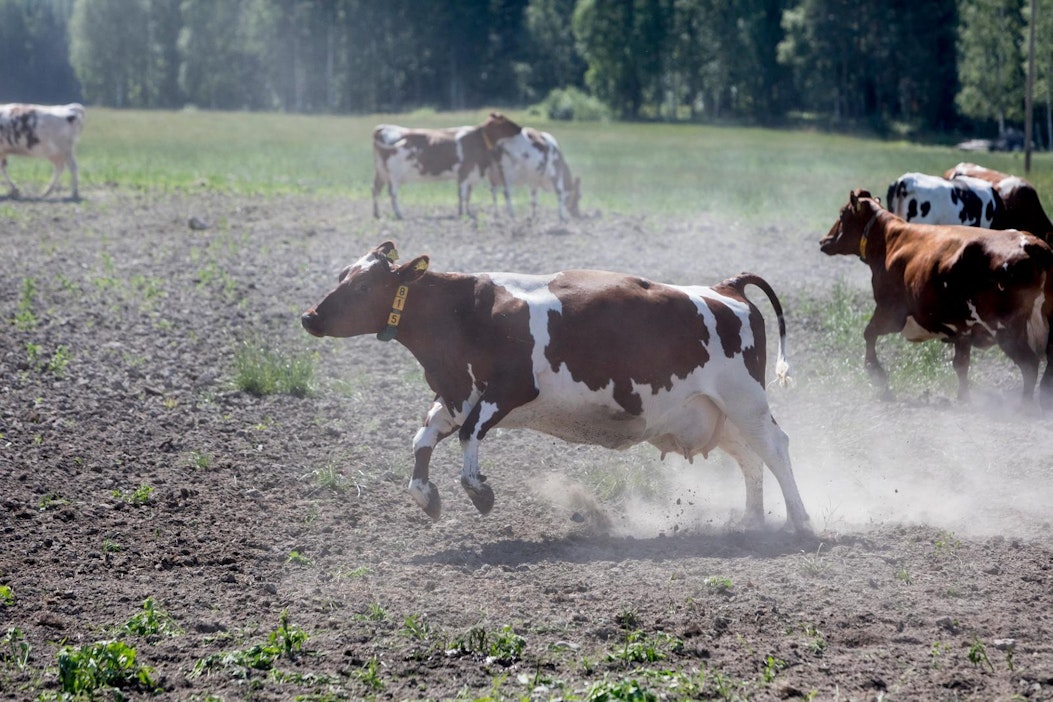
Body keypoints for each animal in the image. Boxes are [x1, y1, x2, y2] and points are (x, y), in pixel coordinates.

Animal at [301, 242, 808, 532]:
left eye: (363, 287)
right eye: (342, 276)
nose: (310, 316)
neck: (467, 310)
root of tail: (726, 289)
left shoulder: (509, 389)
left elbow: (469, 434)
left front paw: (478, 490)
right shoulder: (456, 394)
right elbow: (423, 437)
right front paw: (426, 495)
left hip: (746, 401)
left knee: (777, 446)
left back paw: (800, 521)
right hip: (714, 414)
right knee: (751, 458)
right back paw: (752, 520)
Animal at [372, 112, 524, 219]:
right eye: (504, 121)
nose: (520, 128)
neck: (478, 139)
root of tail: (383, 127)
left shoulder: (471, 173)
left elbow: (467, 195)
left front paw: (468, 213)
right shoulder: (465, 171)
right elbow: (462, 194)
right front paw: (462, 213)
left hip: (381, 172)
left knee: (376, 190)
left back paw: (377, 214)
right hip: (394, 174)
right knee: (392, 193)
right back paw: (398, 214)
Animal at [821, 189, 1053, 406]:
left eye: (842, 215)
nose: (824, 240)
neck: (890, 241)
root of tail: (1030, 244)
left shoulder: (890, 312)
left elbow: (869, 334)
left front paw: (878, 376)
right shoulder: (963, 330)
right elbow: (961, 364)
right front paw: (963, 397)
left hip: (1005, 327)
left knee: (1030, 364)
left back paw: (1024, 406)